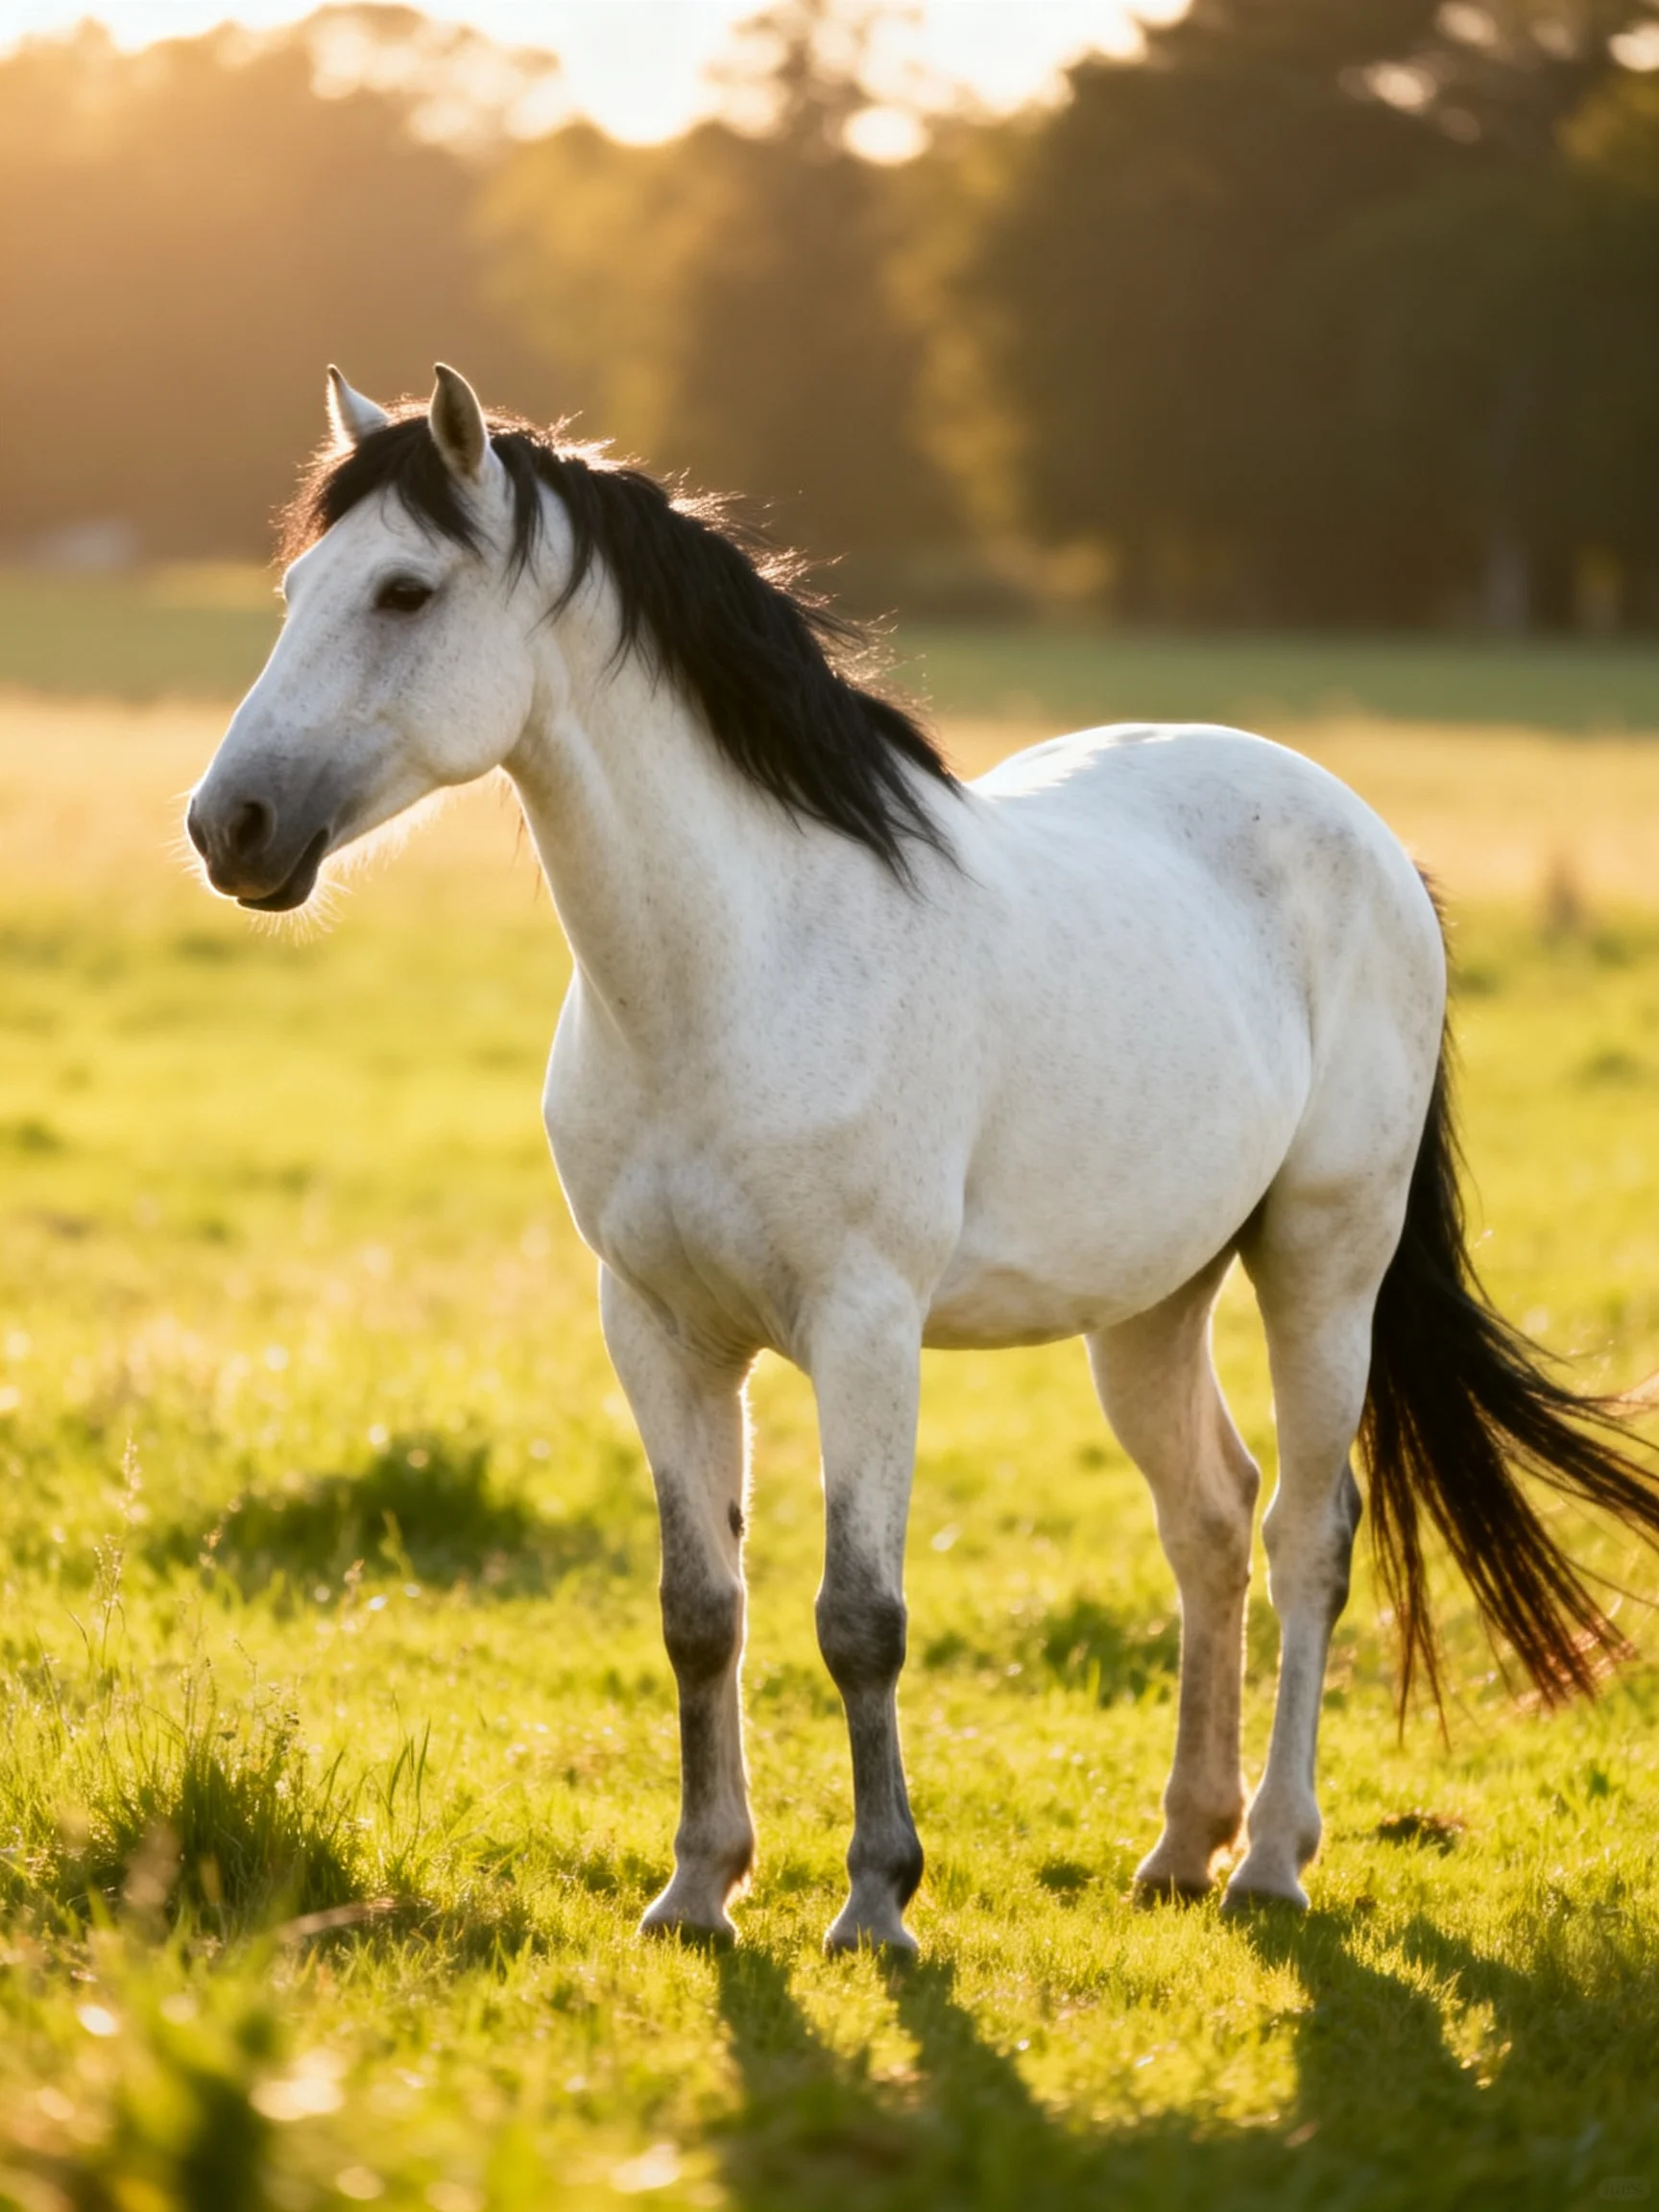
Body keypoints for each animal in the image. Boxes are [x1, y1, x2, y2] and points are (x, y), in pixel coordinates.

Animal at [186, 364, 1659, 1953]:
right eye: (296, 588)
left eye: (404, 590)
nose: (229, 826)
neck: (739, 969)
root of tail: (1369, 839)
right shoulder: (656, 1329)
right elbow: (700, 1611)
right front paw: (696, 1889)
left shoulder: (864, 1326)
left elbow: (860, 1617)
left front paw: (877, 1902)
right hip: (1152, 1301)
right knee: (1209, 1519)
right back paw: (1178, 1847)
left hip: (1325, 1262)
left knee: (1311, 1539)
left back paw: (1269, 1858)